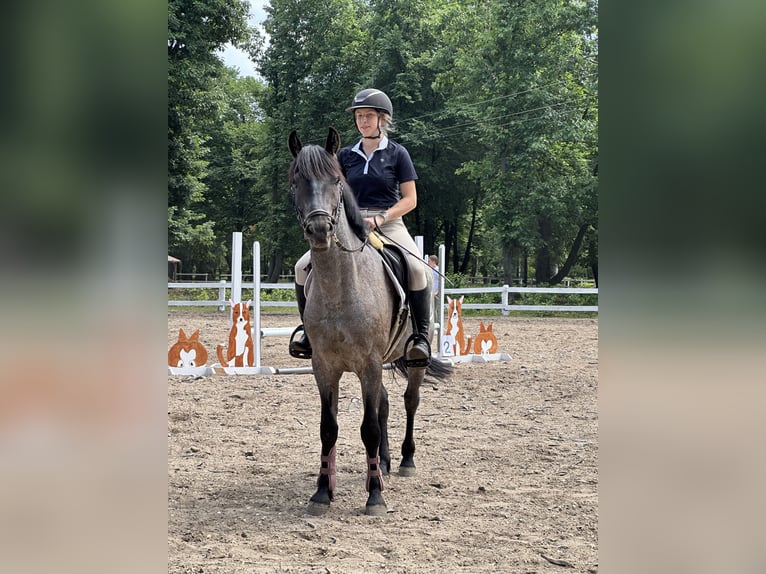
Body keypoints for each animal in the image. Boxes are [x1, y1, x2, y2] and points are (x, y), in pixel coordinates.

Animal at [290, 127, 456, 516]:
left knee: (410, 401)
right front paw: (322, 492)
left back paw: (405, 461)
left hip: (408, 361)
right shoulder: (325, 367)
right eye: (297, 181)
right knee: (384, 404)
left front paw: (375, 496)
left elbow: (367, 428)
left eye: (336, 180)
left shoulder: (368, 363)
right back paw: (381, 462)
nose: (319, 229)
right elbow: (329, 427)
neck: (340, 286)